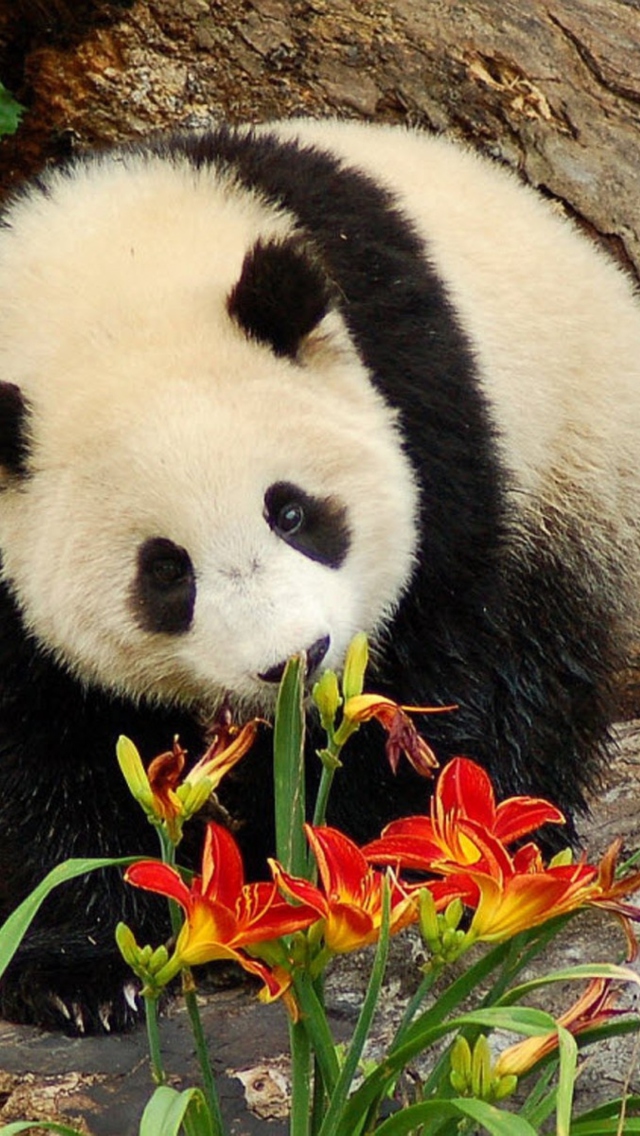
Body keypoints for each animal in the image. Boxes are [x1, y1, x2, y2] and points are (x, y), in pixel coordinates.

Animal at [1, 119, 640, 1036]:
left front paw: (363, 877)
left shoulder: (424, 402)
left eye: (292, 511)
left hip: (569, 463)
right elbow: (43, 745)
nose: (294, 660)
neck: (109, 284)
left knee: (538, 666)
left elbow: (441, 658)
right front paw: (79, 973)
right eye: (165, 572)